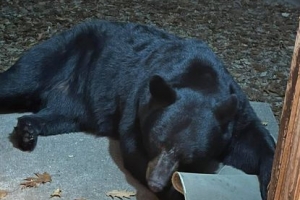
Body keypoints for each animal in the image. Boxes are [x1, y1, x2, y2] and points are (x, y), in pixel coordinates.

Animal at [0, 19, 276, 199]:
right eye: (157, 142)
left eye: (189, 156)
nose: (155, 183)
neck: (200, 78)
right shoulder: (137, 104)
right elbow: (133, 149)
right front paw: (174, 192)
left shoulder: (234, 114)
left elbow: (254, 142)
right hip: (55, 53)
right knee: (20, 79)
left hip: (74, 107)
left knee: (56, 115)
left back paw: (28, 130)